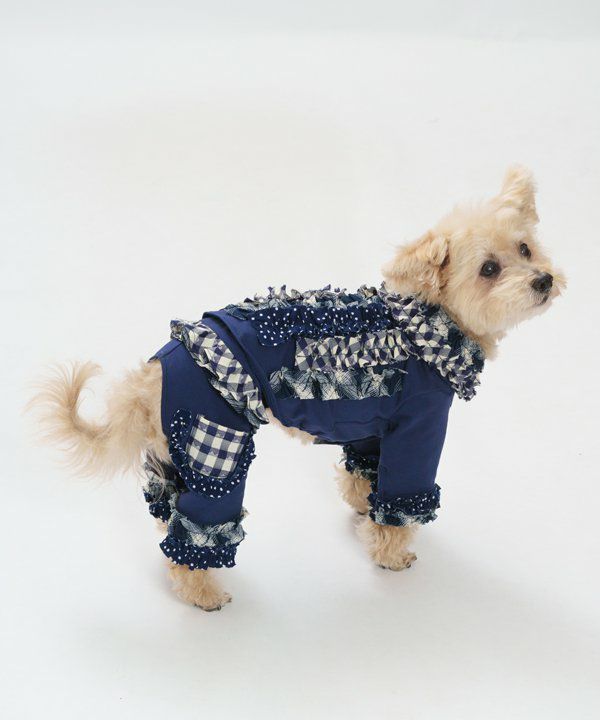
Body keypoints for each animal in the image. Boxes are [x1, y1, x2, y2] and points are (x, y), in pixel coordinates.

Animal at [33, 165, 564, 611]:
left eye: (524, 249)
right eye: (489, 270)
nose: (543, 279)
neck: (426, 324)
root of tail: (159, 367)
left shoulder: (375, 425)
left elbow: (364, 474)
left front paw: (362, 510)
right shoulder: (419, 426)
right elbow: (402, 493)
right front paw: (391, 553)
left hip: (176, 452)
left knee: (170, 518)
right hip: (216, 448)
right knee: (200, 530)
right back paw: (204, 593)